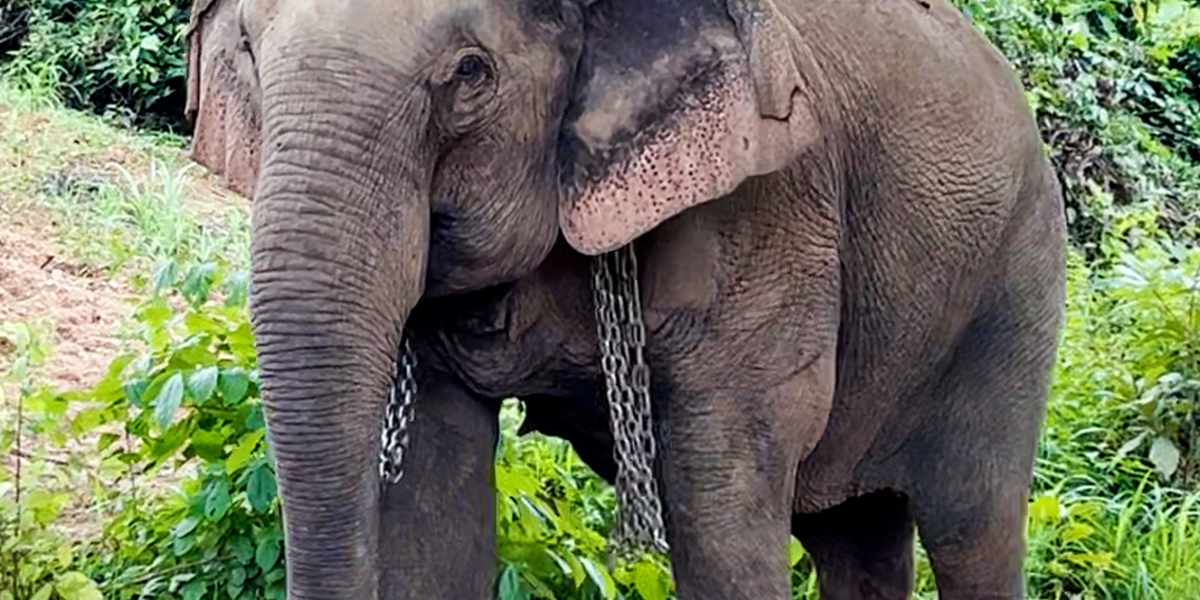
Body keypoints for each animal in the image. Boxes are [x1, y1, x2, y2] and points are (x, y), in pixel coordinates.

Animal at [183, 0, 1066, 597]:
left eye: (470, 73)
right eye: (249, 51)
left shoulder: (770, 212)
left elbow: (721, 508)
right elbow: (433, 492)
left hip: (1015, 290)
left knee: (972, 526)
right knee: (855, 535)